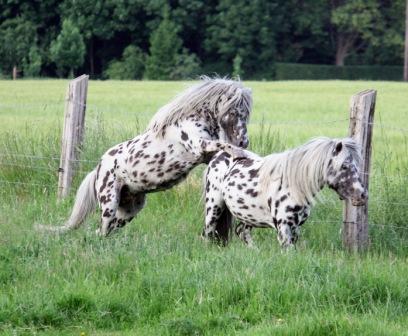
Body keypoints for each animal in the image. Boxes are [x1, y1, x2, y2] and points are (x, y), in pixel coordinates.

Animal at [39, 78, 253, 236]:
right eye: (235, 111)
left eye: (246, 113)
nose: (244, 141)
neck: (189, 120)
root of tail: (98, 169)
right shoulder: (198, 146)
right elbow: (222, 144)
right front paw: (241, 154)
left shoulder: (204, 154)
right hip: (109, 204)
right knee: (101, 231)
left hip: (129, 210)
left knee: (106, 231)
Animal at [203, 136, 366, 249]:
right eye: (344, 166)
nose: (362, 195)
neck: (293, 185)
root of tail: (220, 154)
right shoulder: (284, 229)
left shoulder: (295, 228)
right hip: (214, 207)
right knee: (206, 233)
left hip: (248, 215)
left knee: (242, 232)